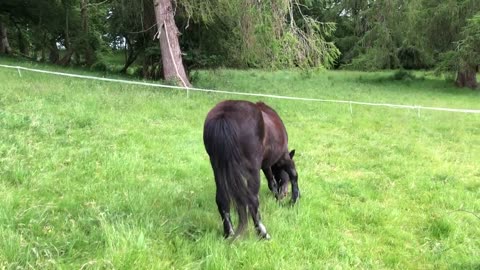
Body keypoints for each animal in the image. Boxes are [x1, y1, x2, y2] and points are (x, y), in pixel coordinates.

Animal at [203, 100, 300, 239]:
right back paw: (263, 233)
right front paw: (294, 200)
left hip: (218, 168)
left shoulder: (265, 165)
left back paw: (229, 233)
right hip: (252, 171)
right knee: (253, 200)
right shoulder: (282, 157)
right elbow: (293, 174)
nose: (284, 194)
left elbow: (272, 182)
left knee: (222, 199)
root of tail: (224, 115)